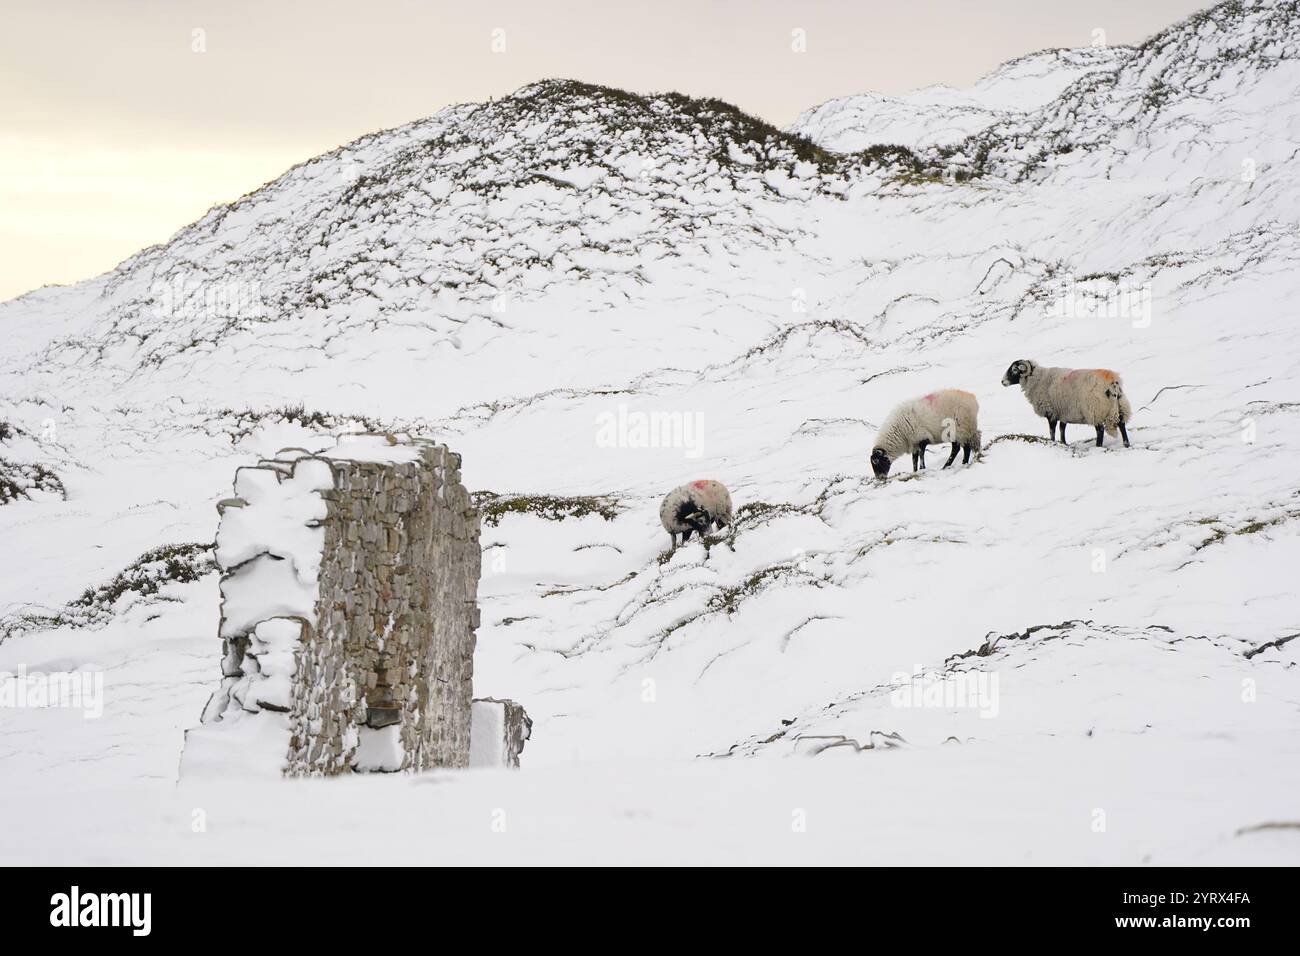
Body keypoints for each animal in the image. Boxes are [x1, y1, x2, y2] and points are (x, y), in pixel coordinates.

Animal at [998, 358, 1133, 447]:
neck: (1037, 379)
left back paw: (1098, 446)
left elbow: (1052, 430)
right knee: (1122, 424)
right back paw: (1126, 444)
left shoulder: (1051, 412)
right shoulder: (1064, 412)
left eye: (1014, 370)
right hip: (1120, 406)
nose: (1002, 382)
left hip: (1095, 410)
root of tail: (1112, 381)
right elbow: (1062, 429)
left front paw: (1053, 442)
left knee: (1100, 430)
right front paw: (1064, 443)